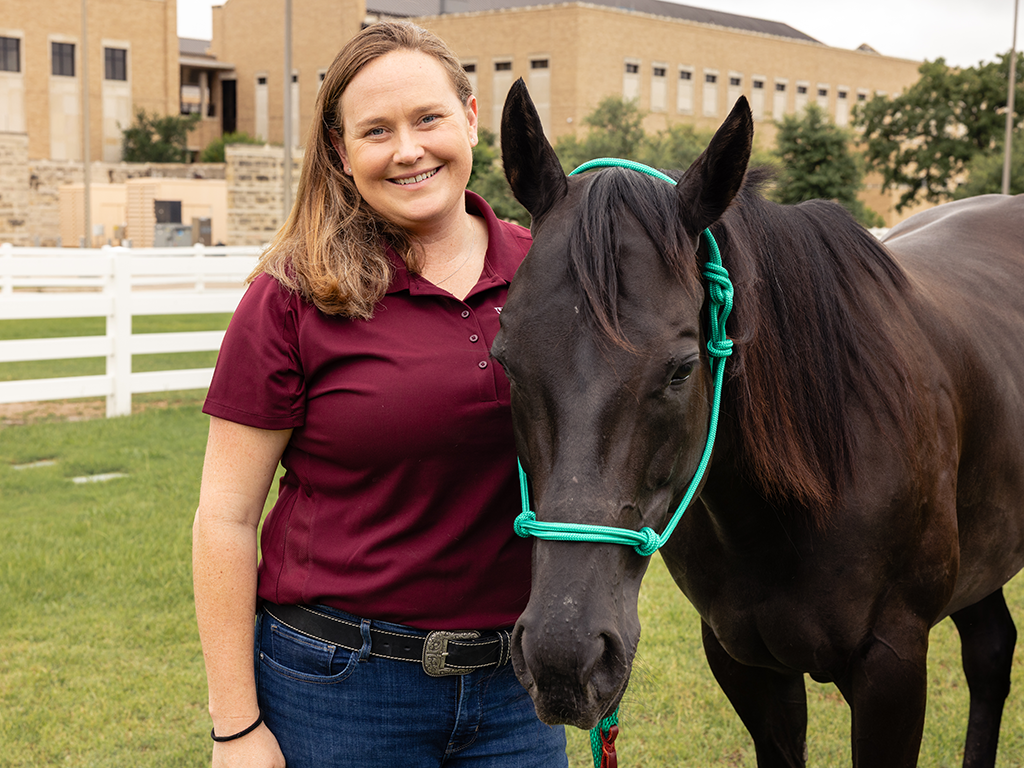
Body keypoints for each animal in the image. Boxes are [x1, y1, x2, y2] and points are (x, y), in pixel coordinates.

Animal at [493, 78, 1024, 767]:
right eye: (506, 358)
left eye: (682, 369)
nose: (563, 660)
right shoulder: (746, 664)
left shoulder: (893, 666)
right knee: (991, 650)